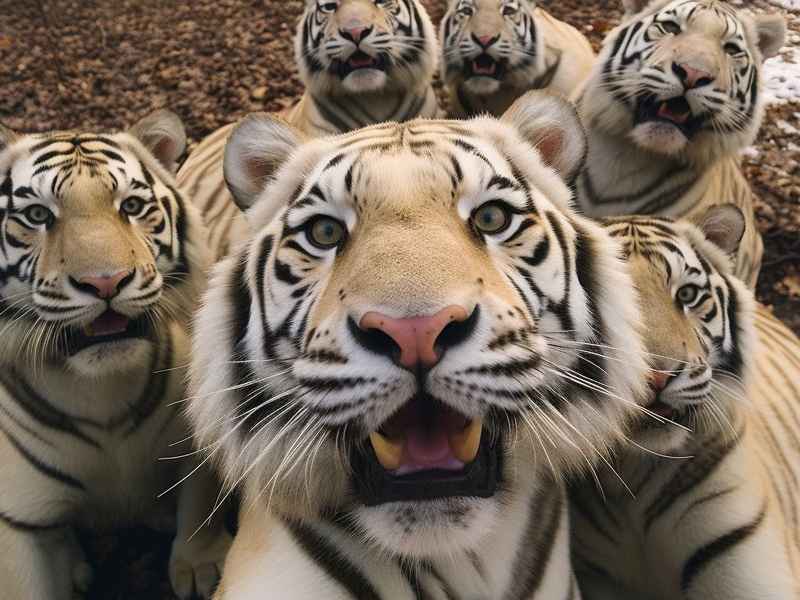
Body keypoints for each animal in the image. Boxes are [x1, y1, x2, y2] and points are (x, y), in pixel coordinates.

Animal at [0, 111, 231, 600]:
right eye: (37, 215)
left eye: (132, 206)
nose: (105, 281)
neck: (101, 392)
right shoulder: (17, 521)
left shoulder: (197, 448)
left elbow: (200, 506)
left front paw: (200, 565)